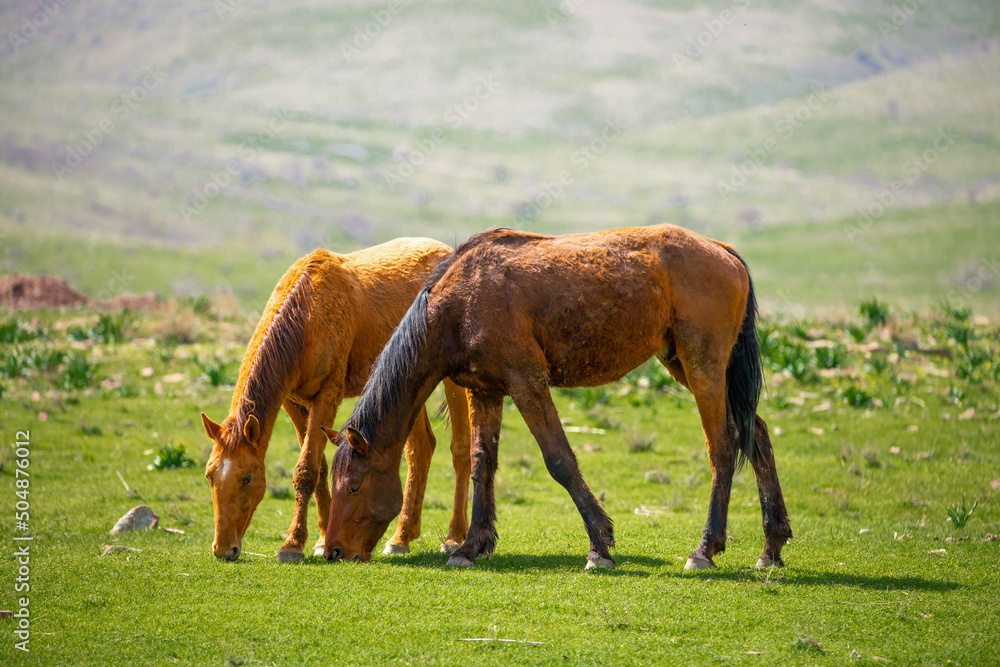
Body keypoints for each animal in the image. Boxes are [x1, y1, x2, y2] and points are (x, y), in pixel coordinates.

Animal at [200, 238, 472, 563]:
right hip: (407, 383)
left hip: (451, 381)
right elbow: (319, 468)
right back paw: (401, 538)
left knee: (460, 450)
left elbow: (306, 468)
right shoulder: (294, 403)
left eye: (247, 478)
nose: (222, 548)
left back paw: (454, 537)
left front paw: (292, 545)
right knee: (420, 448)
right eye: (210, 475)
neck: (306, 313)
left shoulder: (326, 396)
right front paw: (320, 538)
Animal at [323, 224, 792, 570]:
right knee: (757, 436)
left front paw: (599, 546)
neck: (460, 304)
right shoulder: (485, 392)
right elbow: (481, 464)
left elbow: (560, 461)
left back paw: (705, 550)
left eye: (353, 486)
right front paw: (472, 546)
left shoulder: (528, 384)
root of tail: (722, 250)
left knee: (724, 446)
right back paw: (770, 548)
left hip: (702, 367)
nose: (333, 551)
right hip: (688, 365)